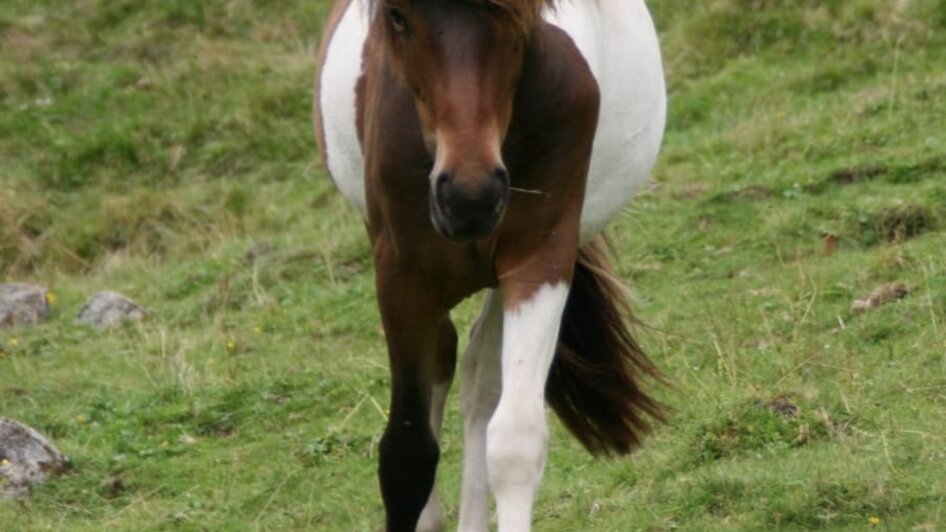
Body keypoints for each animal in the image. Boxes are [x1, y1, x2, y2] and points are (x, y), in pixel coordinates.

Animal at [314, 0, 668, 528]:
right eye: (396, 16)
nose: (469, 198)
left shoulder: (540, 258)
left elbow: (515, 442)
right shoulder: (401, 275)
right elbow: (407, 456)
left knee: (481, 378)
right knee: (446, 359)